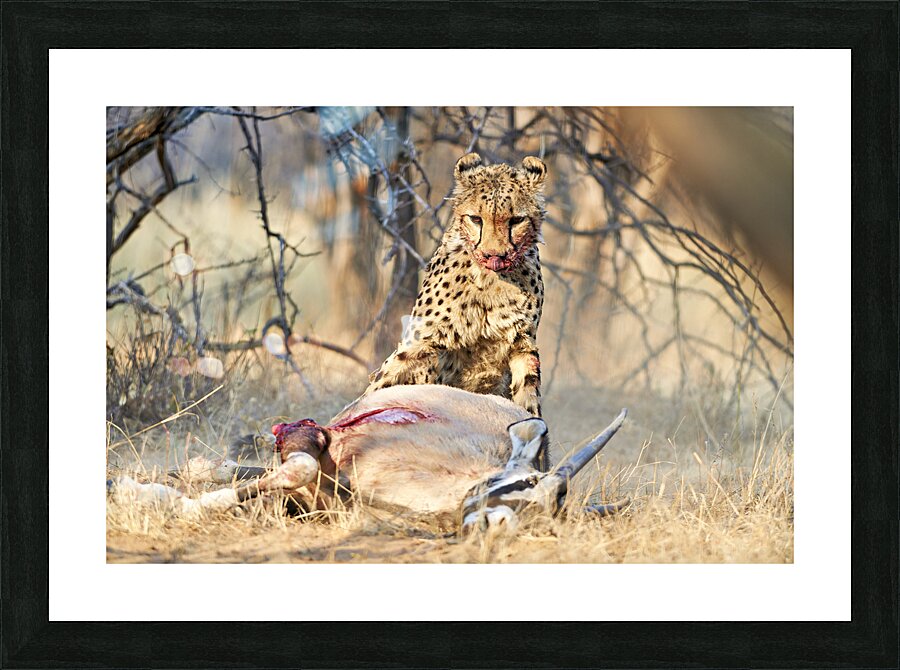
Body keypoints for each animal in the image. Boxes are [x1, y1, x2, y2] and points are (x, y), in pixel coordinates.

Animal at [365, 152, 549, 468]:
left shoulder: (522, 344)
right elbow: (384, 381)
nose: (494, 255)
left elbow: (529, 401)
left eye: (516, 220)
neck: (491, 282)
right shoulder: (422, 341)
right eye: (476, 219)